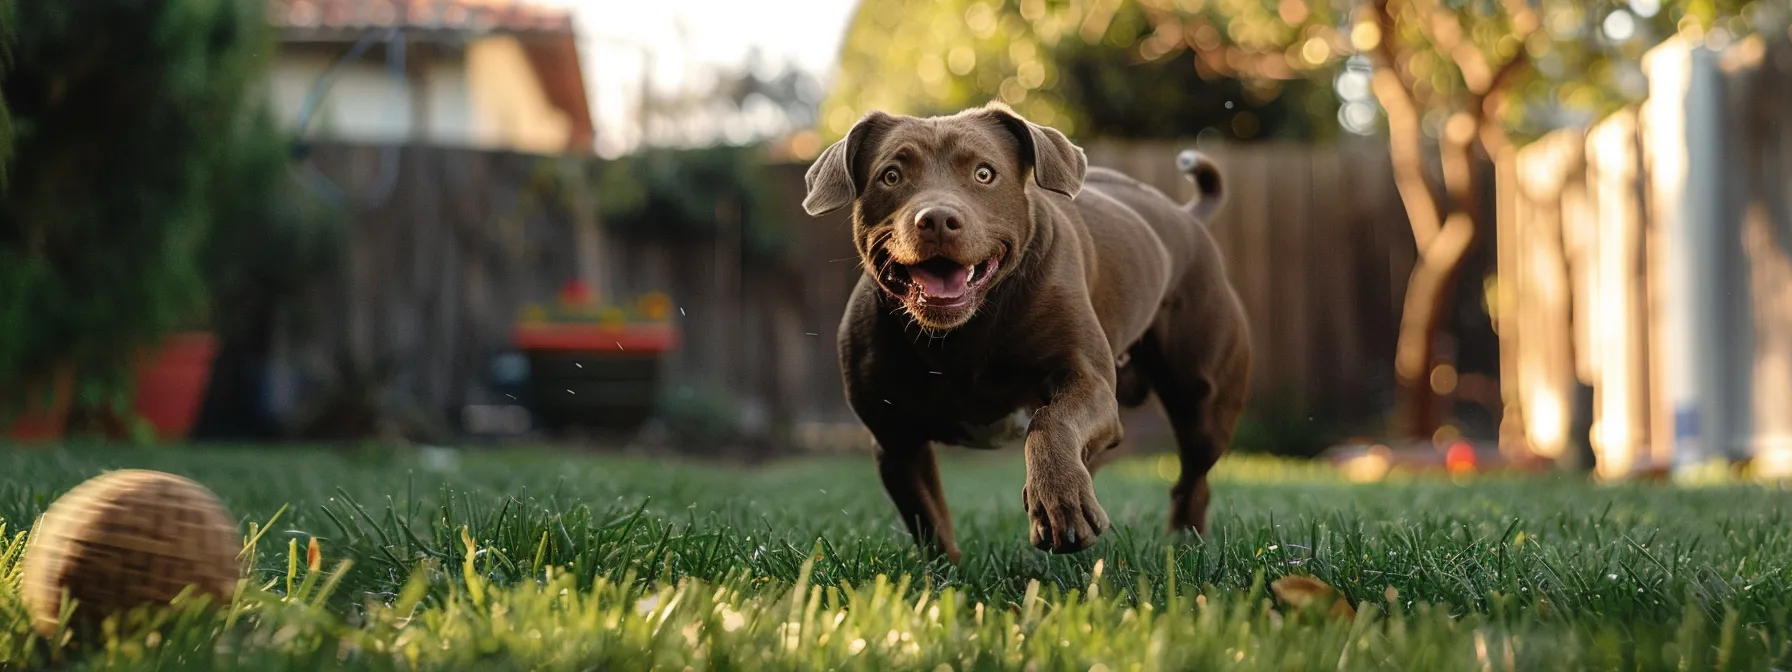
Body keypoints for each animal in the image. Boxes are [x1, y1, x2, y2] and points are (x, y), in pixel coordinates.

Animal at [806, 101, 1254, 562]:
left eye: (984, 173)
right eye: (891, 175)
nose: (937, 219)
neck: (962, 335)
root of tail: (1185, 216)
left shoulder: (1089, 382)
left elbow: (1050, 422)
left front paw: (1060, 500)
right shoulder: (895, 441)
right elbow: (930, 523)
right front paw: (944, 575)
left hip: (1202, 405)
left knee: (1192, 480)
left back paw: (1183, 540)